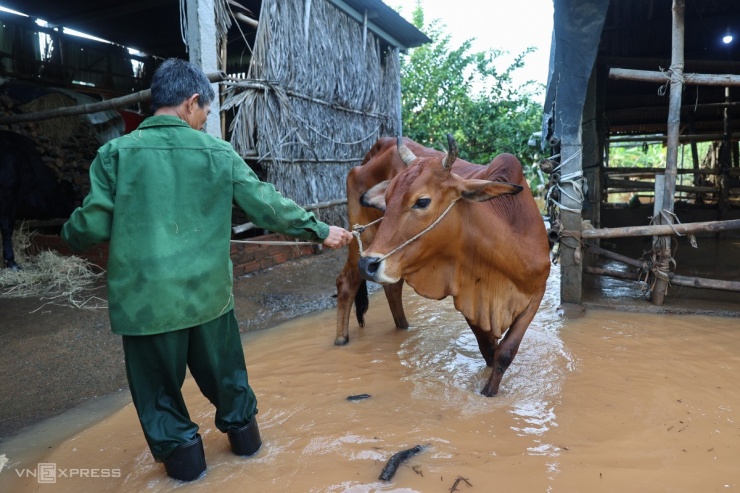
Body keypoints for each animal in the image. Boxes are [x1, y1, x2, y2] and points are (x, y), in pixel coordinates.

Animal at [342, 135, 548, 396]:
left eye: (422, 201)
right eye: (386, 199)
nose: (369, 262)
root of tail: (382, 144)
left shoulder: (536, 293)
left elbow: (505, 352)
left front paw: (489, 392)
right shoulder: (467, 297)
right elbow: (489, 350)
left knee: (392, 288)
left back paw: (403, 327)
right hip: (359, 241)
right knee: (345, 285)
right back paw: (341, 339)